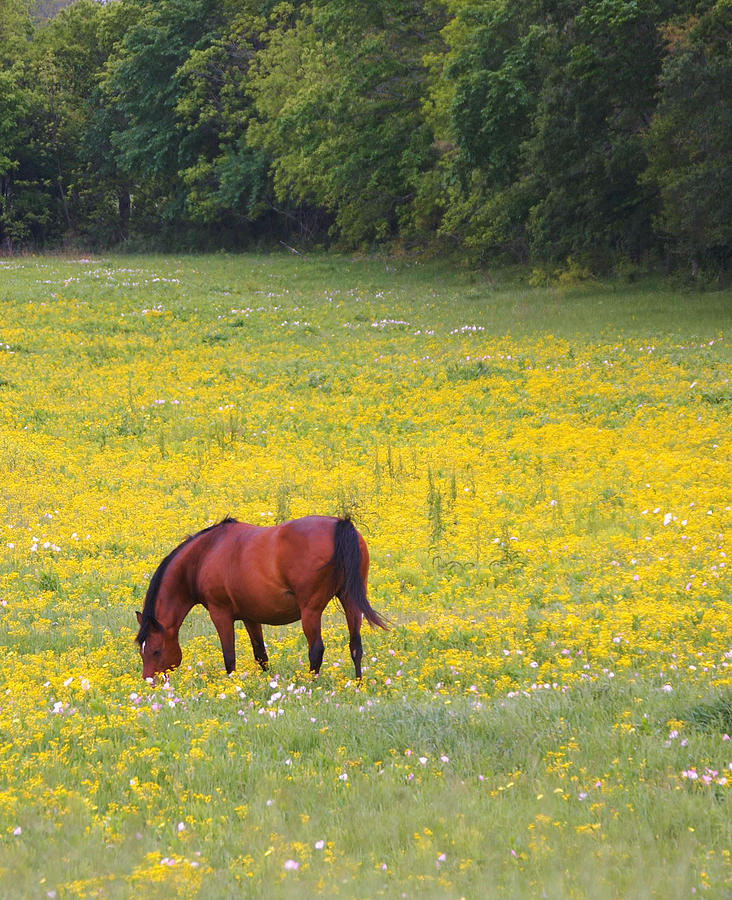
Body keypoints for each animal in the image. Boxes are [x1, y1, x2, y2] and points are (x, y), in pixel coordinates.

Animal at [134, 516, 386, 680]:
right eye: (141, 651)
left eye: (155, 651)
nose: (150, 683)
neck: (205, 554)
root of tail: (340, 524)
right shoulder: (250, 616)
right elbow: (261, 655)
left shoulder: (220, 614)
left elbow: (229, 658)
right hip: (351, 601)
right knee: (355, 645)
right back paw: (358, 684)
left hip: (311, 611)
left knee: (316, 650)